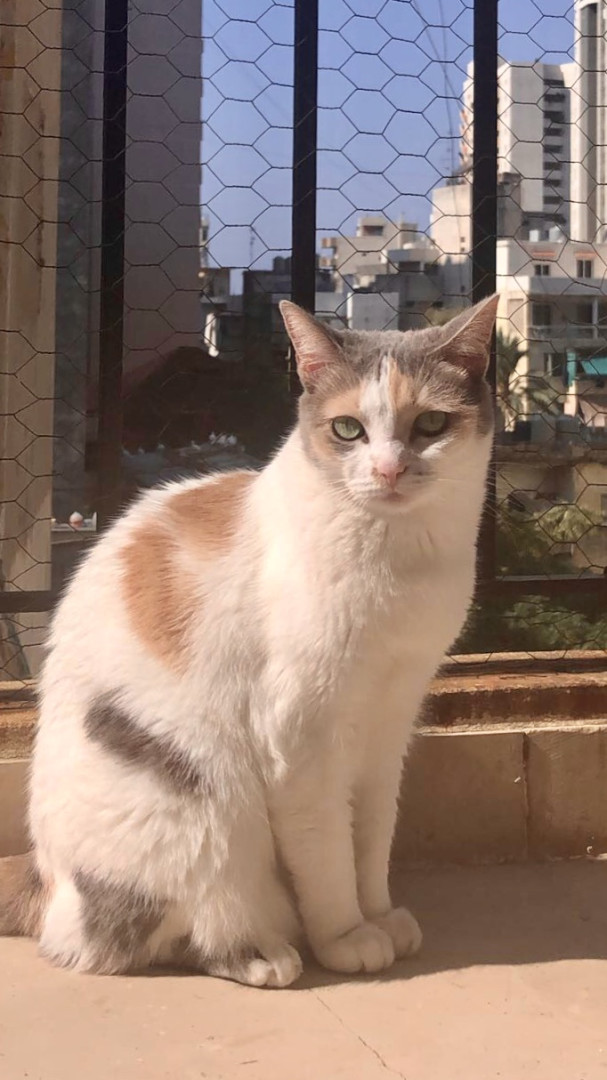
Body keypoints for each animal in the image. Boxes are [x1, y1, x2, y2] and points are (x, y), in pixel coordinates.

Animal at [0, 295, 497, 987]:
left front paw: (380, 913)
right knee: (156, 931)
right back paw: (260, 953)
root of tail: (42, 878)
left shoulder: (390, 721)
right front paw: (347, 936)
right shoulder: (299, 735)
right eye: (348, 430)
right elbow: (327, 852)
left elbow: (372, 836)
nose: (390, 469)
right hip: (205, 800)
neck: (399, 557)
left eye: (429, 423)